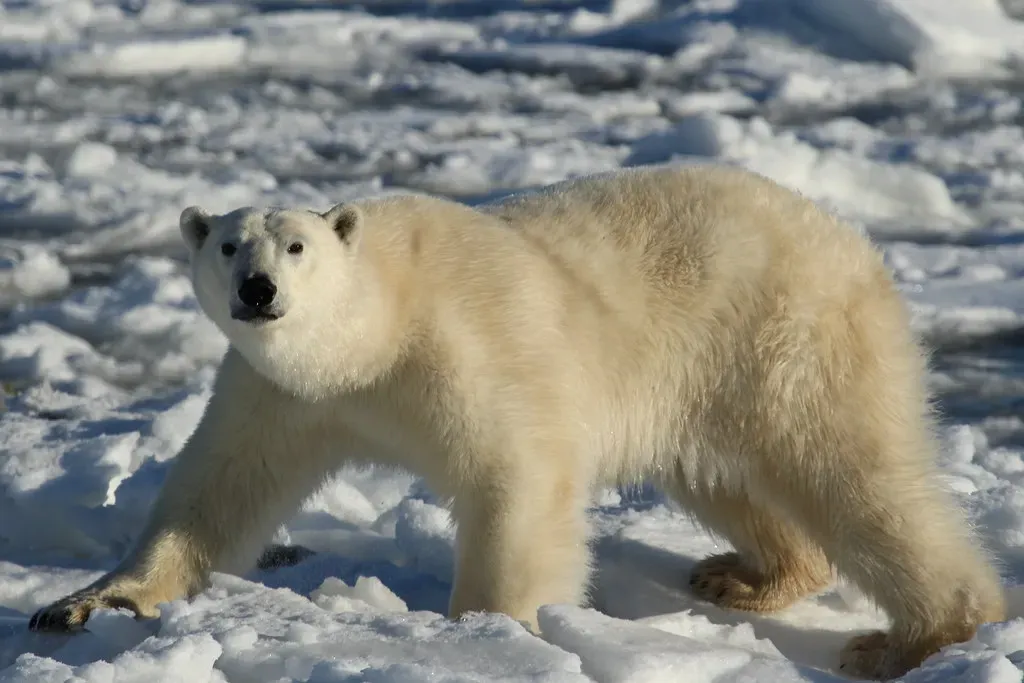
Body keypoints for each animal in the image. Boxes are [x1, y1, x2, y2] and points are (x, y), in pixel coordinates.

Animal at [29, 164, 1005, 680]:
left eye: (296, 245)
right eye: (230, 243)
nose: (259, 290)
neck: (377, 328)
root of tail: (853, 239)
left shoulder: (464, 348)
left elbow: (518, 479)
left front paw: (493, 634)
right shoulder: (281, 392)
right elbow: (218, 489)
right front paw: (82, 603)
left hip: (789, 337)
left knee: (852, 473)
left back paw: (914, 635)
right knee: (730, 476)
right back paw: (745, 576)